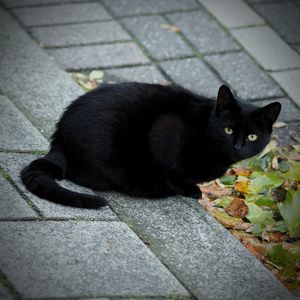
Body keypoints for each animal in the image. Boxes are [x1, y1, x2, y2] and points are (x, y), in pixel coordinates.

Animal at [21, 82, 282, 209]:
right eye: (228, 130)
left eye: (252, 137)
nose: (238, 146)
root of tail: (58, 143)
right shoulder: (167, 130)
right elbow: (173, 172)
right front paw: (189, 190)